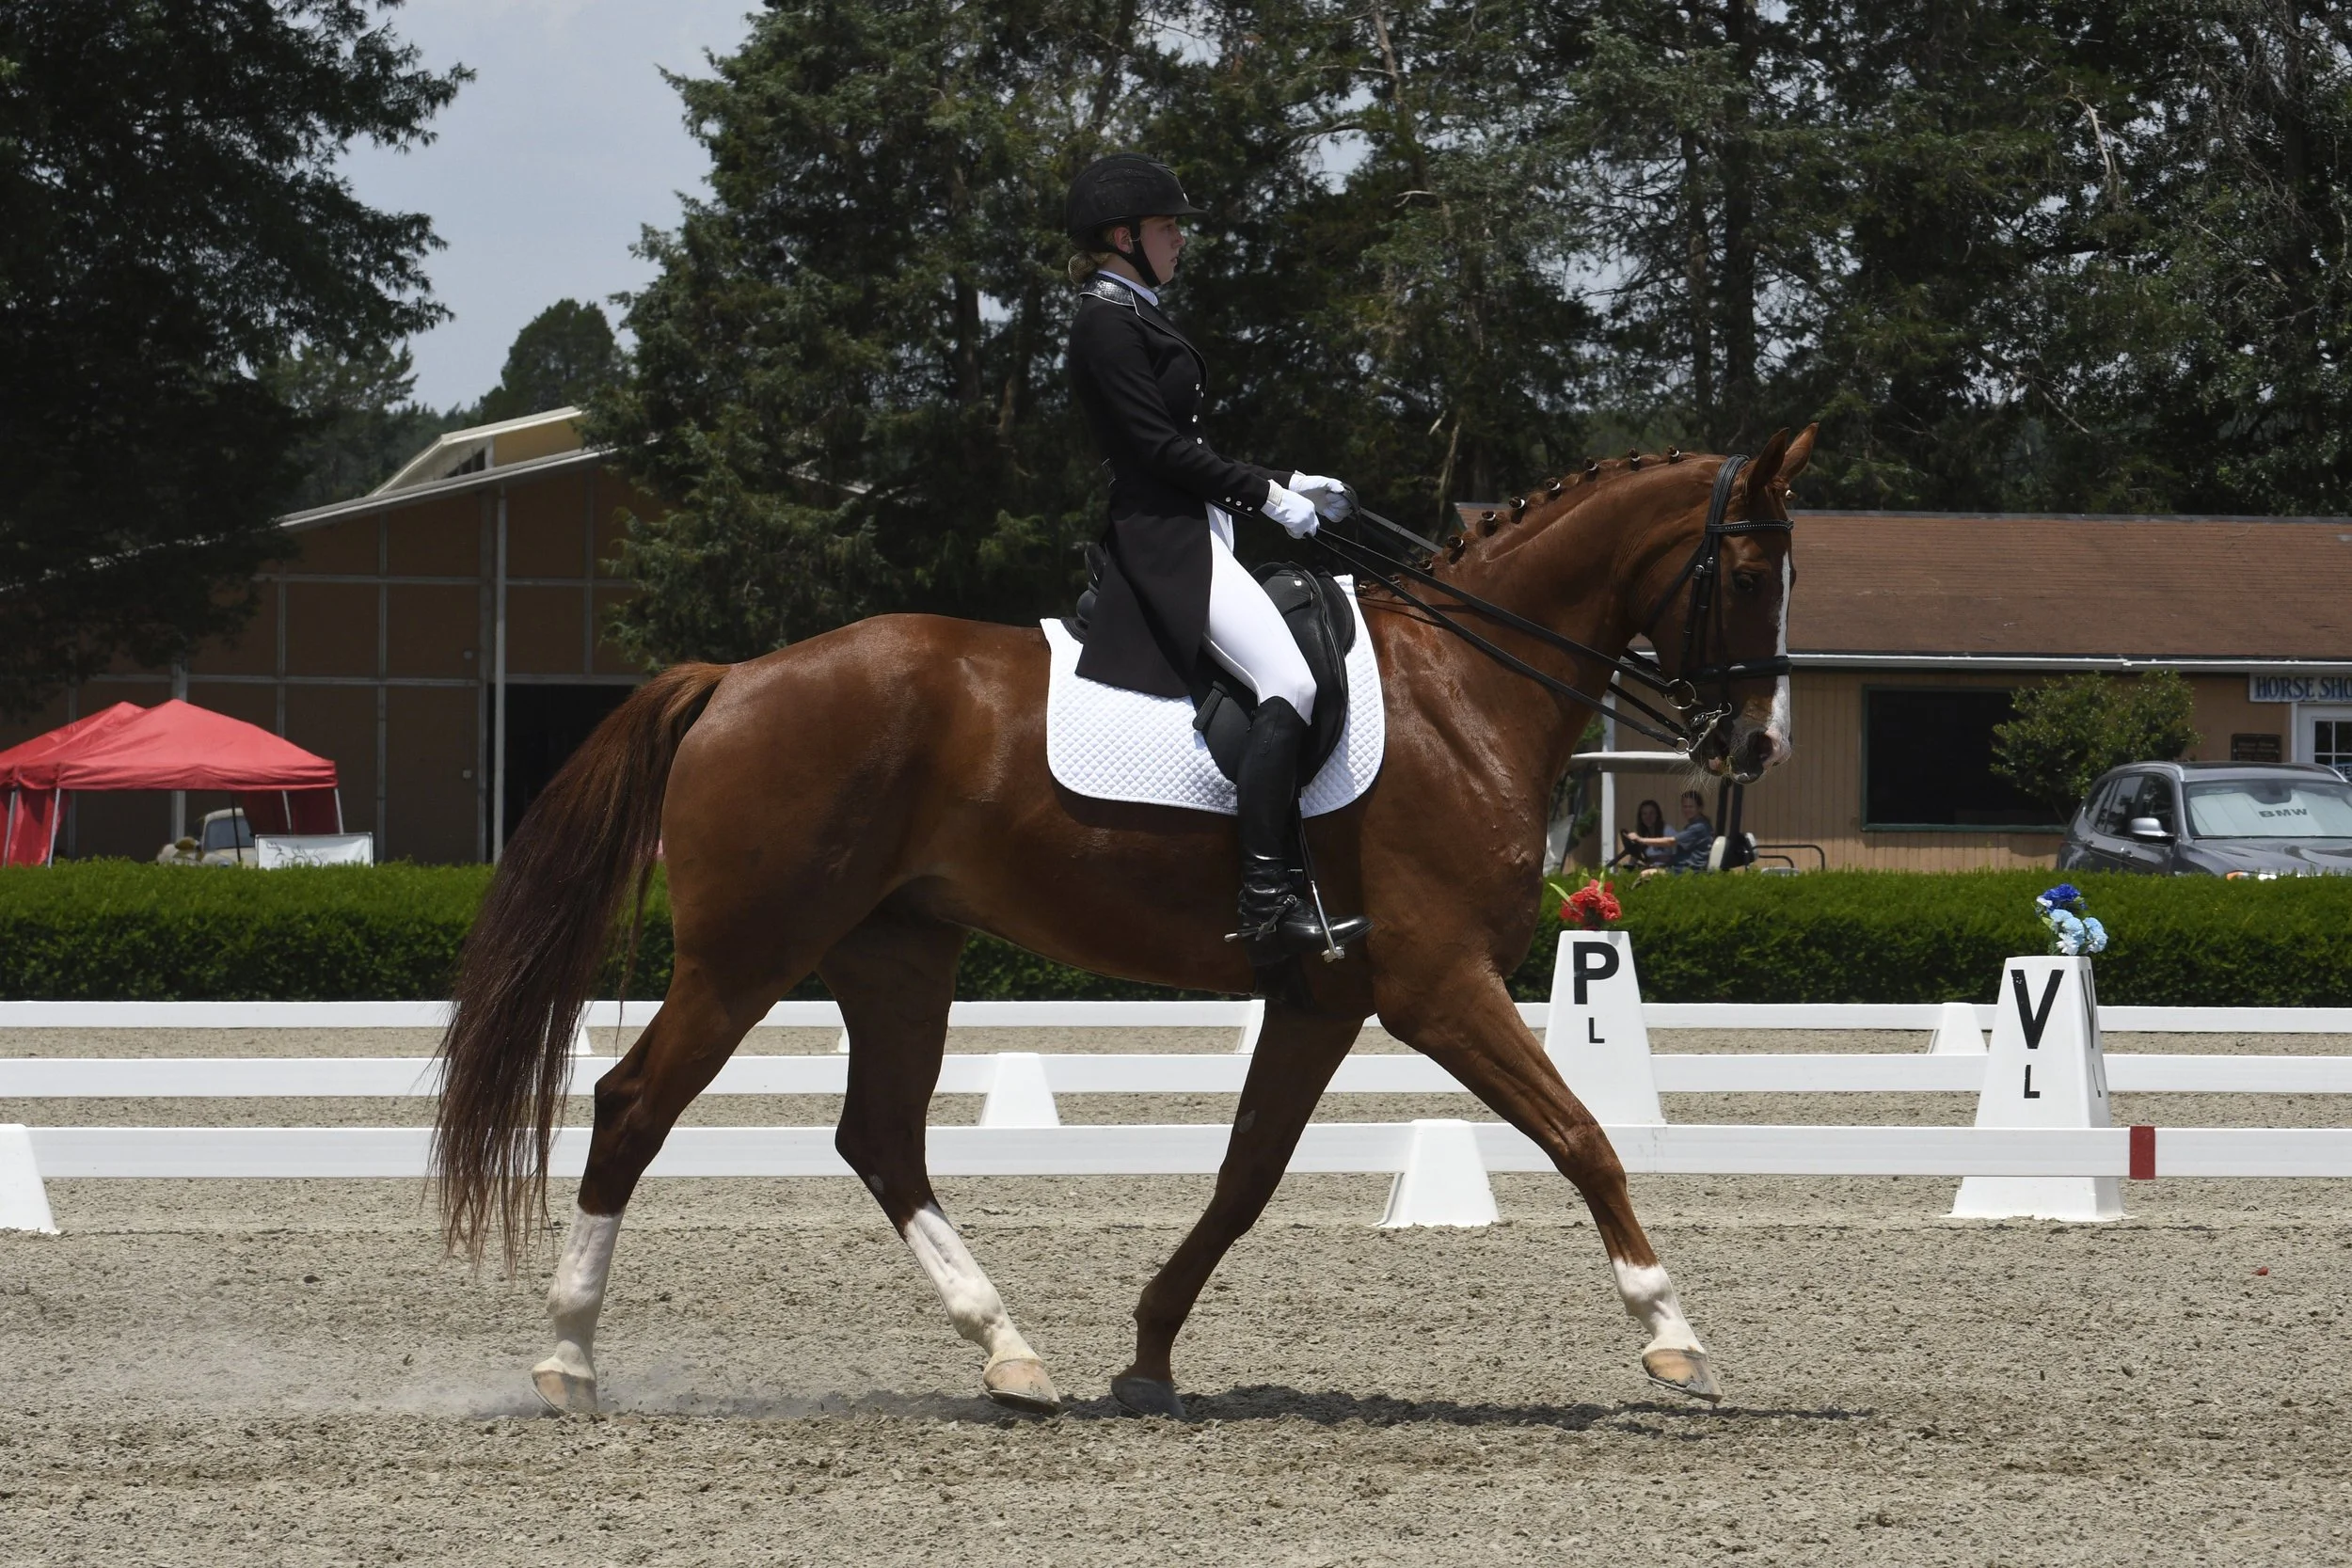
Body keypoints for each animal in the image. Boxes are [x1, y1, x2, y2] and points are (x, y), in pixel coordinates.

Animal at [432, 426, 1814, 1418]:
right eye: (1749, 574)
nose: (1752, 746)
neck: (1465, 689)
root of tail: (734, 678)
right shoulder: (1436, 983)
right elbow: (1585, 1136)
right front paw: (1672, 1336)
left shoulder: (1325, 994)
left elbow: (1247, 1174)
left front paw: (1147, 1352)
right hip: (748, 953)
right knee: (634, 1103)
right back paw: (569, 1360)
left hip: (896, 949)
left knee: (879, 1136)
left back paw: (1009, 1355)